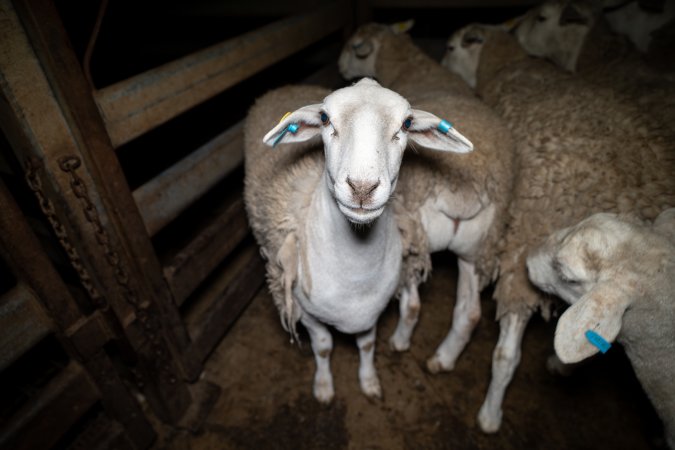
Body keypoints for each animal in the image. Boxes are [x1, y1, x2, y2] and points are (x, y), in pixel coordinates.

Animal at [244, 79, 476, 402]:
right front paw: (324, 387)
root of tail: (289, 85)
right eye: (324, 118)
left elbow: (367, 345)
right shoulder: (306, 312)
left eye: (407, 123)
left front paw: (369, 382)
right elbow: (323, 347)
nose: (363, 188)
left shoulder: (372, 311)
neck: (355, 273)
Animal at [340, 21, 516, 382]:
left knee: (412, 305)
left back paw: (400, 342)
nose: (339, 67)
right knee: (470, 313)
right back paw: (443, 360)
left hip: (413, 235)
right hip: (476, 249)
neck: (409, 64)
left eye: (352, 46)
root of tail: (464, 191)